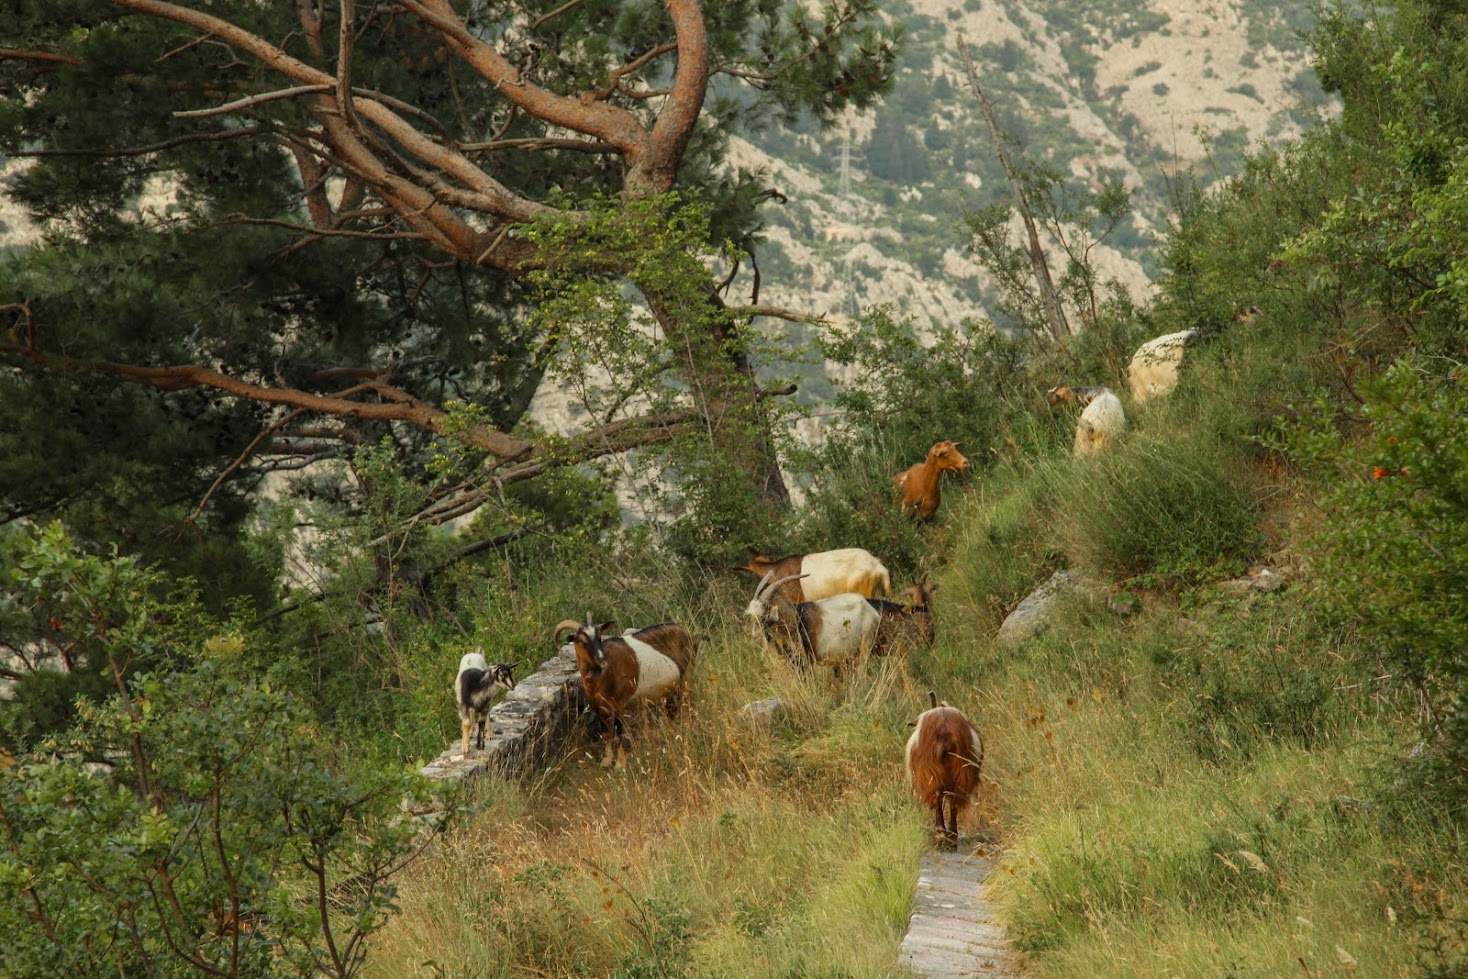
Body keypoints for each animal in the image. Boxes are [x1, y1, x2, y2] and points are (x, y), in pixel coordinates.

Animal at [551, 616, 695, 769]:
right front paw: (606, 761)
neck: (602, 677)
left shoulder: (618, 705)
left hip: (687, 677)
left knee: (686, 702)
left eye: (599, 637)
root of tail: (687, 634)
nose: (602, 661)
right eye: (582, 641)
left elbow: (618, 733)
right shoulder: (599, 708)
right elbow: (606, 733)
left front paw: (620, 764)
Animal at [745, 569, 880, 669]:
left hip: (866, 644)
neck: (797, 619)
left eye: (764, 616)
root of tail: (873, 612)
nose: (755, 635)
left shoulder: (808, 659)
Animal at [898, 689, 980, 851]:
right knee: (953, 801)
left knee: (938, 798)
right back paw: (952, 836)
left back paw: (941, 833)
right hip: (961, 772)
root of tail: (945, 734)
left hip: (931, 772)